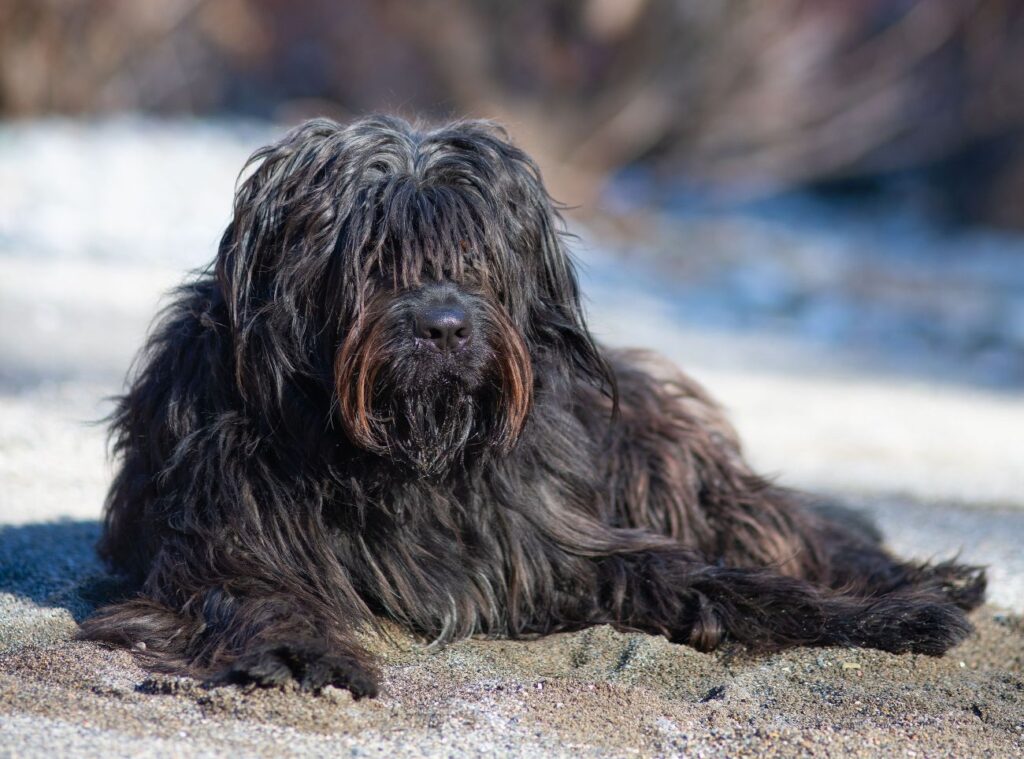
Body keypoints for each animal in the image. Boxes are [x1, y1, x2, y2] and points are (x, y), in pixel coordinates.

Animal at [79, 114, 983, 700]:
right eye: (372, 257)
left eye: (476, 258)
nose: (446, 326)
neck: (404, 459)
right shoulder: (216, 540)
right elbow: (246, 591)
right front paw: (296, 651)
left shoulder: (553, 540)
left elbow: (710, 575)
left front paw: (889, 616)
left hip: (658, 455)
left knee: (788, 524)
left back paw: (924, 575)